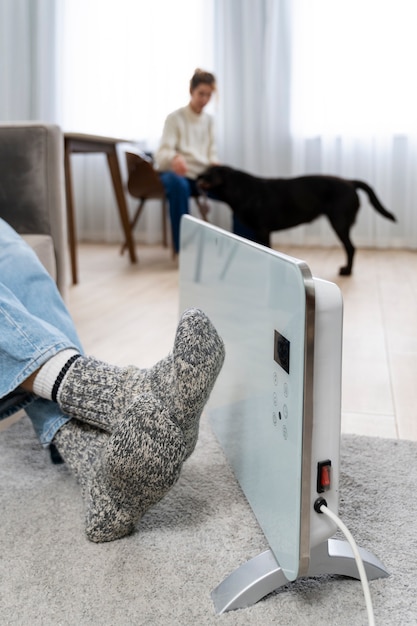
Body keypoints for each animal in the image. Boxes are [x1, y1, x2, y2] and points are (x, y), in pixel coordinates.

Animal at [197, 165, 394, 274]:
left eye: (208, 173)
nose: (198, 175)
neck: (241, 190)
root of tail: (350, 182)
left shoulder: (263, 230)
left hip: (339, 222)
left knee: (351, 248)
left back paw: (347, 271)